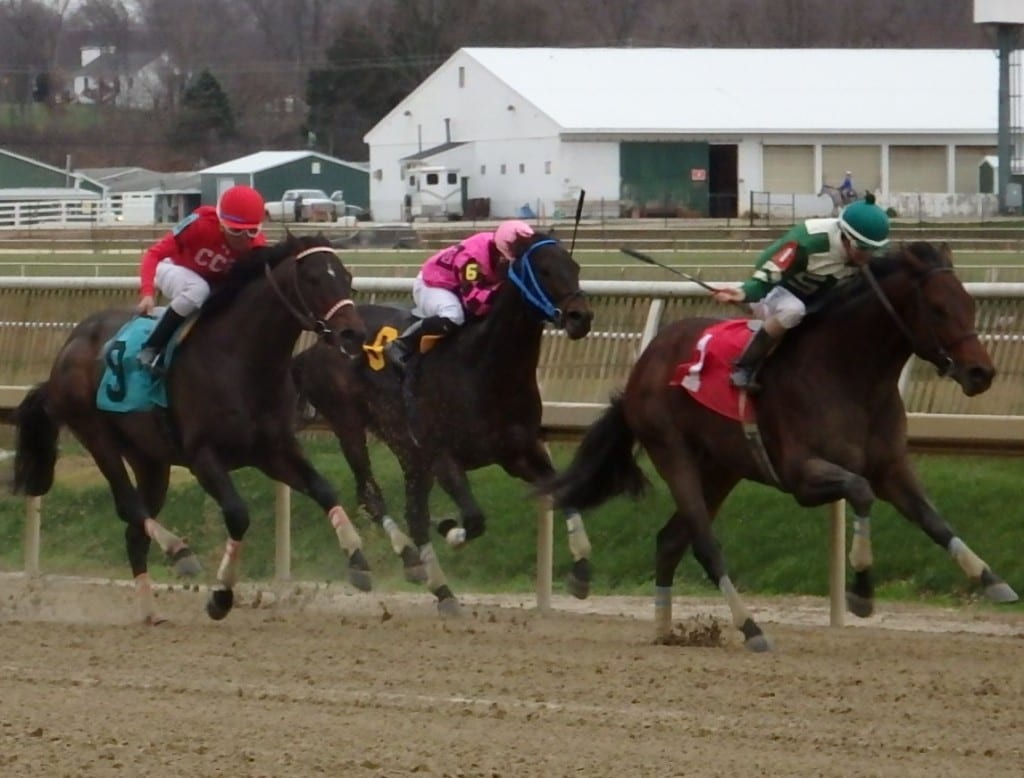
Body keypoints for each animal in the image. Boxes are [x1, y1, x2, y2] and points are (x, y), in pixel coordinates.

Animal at [12, 231, 372, 618]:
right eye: (313, 279)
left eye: (347, 277)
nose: (353, 333)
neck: (241, 361)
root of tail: (69, 345)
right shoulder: (203, 456)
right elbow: (238, 514)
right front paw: (221, 595)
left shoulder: (274, 450)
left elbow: (324, 490)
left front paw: (358, 561)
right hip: (95, 434)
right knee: (128, 505)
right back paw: (178, 551)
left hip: (150, 459)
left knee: (134, 531)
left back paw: (149, 612)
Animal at [290, 231, 593, 614]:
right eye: (545, 270)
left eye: (575, 267)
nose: (581, 316)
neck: (487, 370)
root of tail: (314, 347)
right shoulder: (443, 457)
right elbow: (474, 520)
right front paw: (450, 528)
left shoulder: (520, 452)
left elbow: (564, 491)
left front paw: (581, 572)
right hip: (349, 424)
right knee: (370, 494)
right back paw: (403, 560)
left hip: (407, 449)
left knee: (414, 514)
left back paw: (439, 587)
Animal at [544, 241, 1015, 651]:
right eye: (937, 308)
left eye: (970, 303)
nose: (981, 372)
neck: (847, 374)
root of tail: (645, 363)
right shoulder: (801, 475)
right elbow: (861, 492)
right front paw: (861, 593)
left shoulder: (892, 468)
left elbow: (933, 519)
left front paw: (992, 579)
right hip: (673, 452)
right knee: (704, 545)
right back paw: (751, 628)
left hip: (720, 469)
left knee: (670, 541)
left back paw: (665, 630)